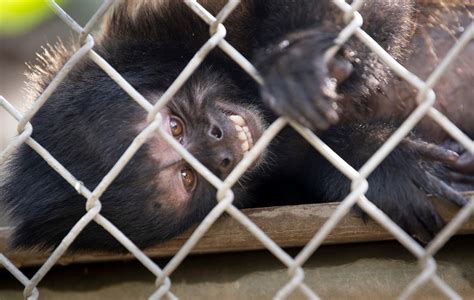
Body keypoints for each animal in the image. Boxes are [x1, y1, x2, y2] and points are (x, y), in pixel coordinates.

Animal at [0, 0, 472, 251]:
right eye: (189, 177)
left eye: (174, 126)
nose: (224, 147)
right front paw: (373, 156)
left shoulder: (169, 23)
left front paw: (300, 56)